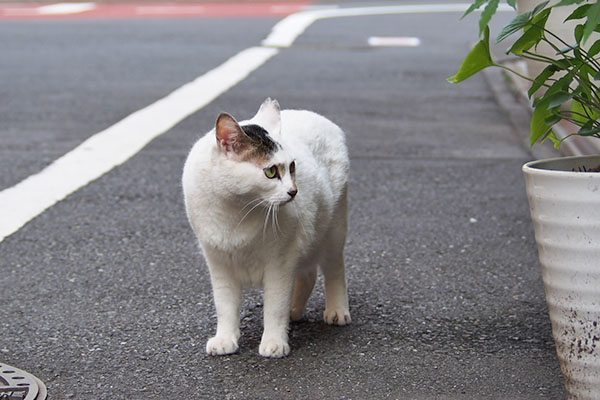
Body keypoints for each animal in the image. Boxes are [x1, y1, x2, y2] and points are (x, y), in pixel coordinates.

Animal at [183, 98, 352, 358]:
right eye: (271, 172)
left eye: (292, 167)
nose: (294, 191)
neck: (236, 212)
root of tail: (317, 116)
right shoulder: (219, 264)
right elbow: (225, 305)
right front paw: (225, 340)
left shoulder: (279, 264)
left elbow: (274, 307)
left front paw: (274, 342)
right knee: (308, 274)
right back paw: (294, 311)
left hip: (333, 230)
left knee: (334, 270)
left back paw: (336, 311)